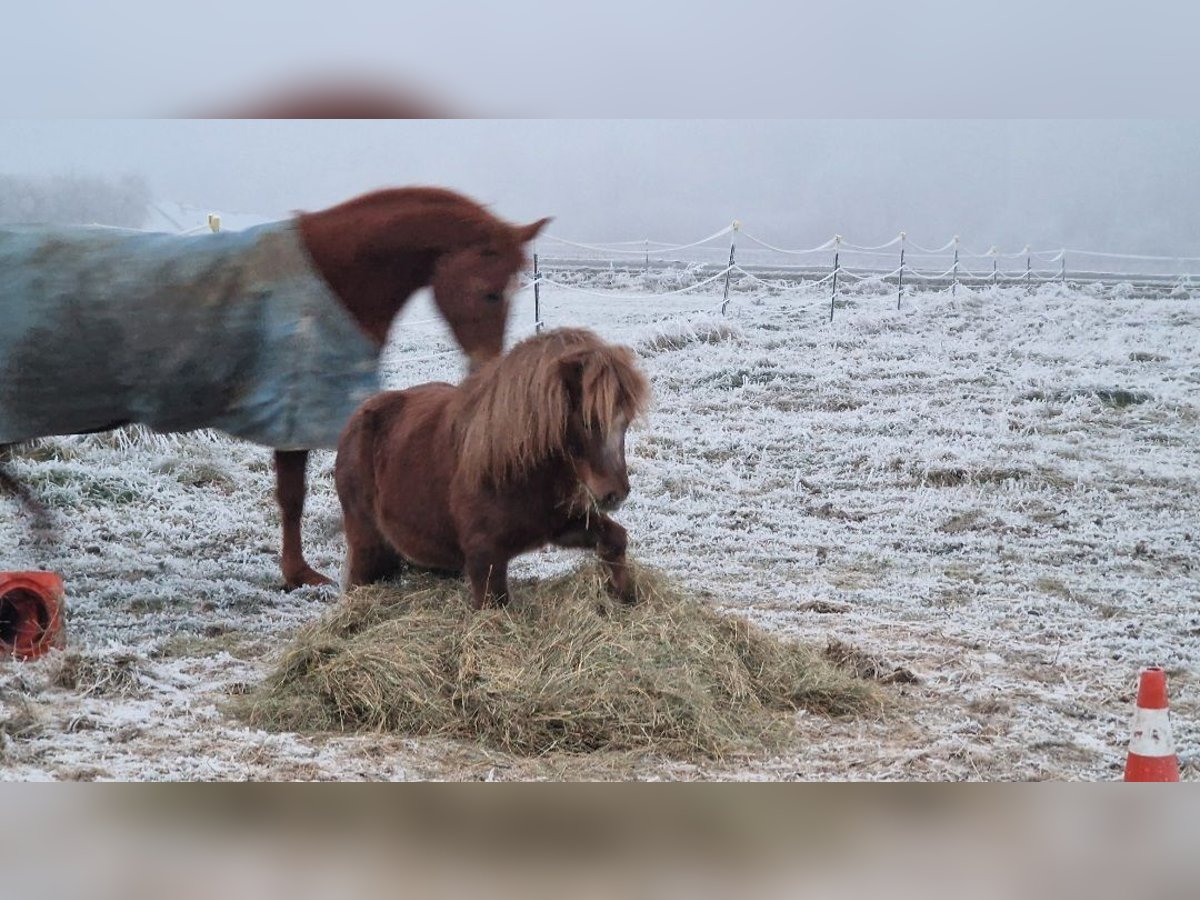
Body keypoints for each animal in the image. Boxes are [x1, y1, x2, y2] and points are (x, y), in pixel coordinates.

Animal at [0, 186, 550, 588]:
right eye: (490, 292)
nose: (485, 369)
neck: (334, 277)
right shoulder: (296, 411)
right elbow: (293, 497)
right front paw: (300, 573)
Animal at [335, 327, 651, 609]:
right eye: (588, 421)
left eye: (626, 421)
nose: (615, 494)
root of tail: (355, 421)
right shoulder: (484, 558)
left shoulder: (561, 525)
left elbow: (614, 539)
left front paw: (627, 596)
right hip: (367, 544)